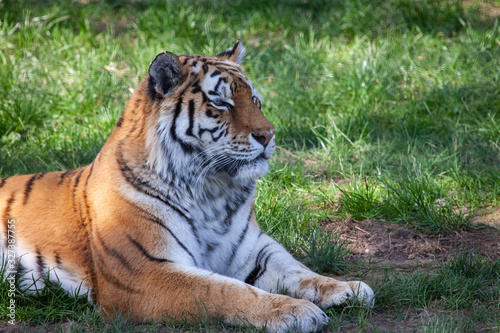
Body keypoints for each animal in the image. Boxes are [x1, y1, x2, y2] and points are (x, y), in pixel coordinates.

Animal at [0, 41, 374, 332]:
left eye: (255, 101)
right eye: (221, 103)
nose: (268, 136)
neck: (212, 191)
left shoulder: (252, 252)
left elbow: (299, 270)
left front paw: (348, 288)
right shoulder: (145, 274)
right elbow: (224, 291)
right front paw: (295, 311)